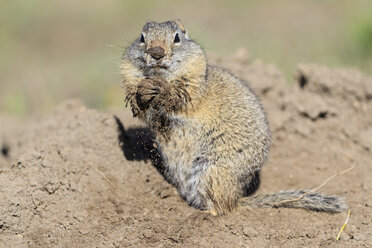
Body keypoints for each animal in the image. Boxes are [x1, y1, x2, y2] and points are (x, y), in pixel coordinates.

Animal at [120, 19, 348, 215]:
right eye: (142, 37)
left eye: (177, 37)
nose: (156, 52)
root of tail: (238, 197)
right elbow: (142, 110)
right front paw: (141, 93)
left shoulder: (193, 85)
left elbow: (181, 96)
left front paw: (159, 88)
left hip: (211, 170)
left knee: (222, 208)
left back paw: (202, 214)